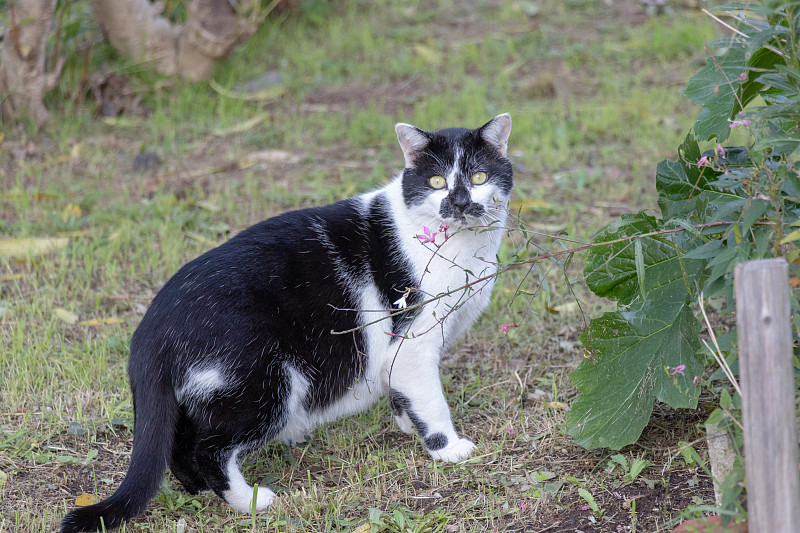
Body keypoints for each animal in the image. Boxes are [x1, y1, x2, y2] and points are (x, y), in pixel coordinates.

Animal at [61, 111, 512, 528]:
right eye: (436, 182)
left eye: (479, 176)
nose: (458, 202)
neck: (465, 251)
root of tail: (151, 327)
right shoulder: (415, 338)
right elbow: (431, 398)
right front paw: (447, 448)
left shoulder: (403, 352)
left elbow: (403, 389)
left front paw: (405, 423)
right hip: (267, 381)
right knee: (209, 449)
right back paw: (249, 500)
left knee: (181, 444)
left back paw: (201, 490)